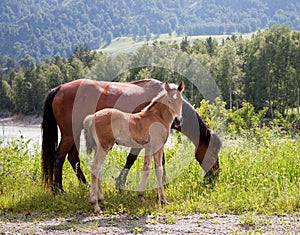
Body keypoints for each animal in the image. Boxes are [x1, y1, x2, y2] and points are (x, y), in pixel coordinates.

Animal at [41, 78, 220, 192]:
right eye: (212, 152)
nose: (214, 177)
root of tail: (59, 88)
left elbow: (156, 160)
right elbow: (132, 159)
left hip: (74, 133)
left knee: (73, 158)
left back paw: (85, 185)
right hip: (69, 134)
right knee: (59, 158)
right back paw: (58, 190)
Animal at [83, 81, 184, 213]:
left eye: (181, 101)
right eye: (169, 101)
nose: (177, 120)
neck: (157, 117)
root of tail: (93, 116)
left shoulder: (148, 148)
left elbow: (146, 169)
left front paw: (141, 197)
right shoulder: (158, 146)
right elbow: (159, 170)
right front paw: (163, 200)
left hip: (99, 147)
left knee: (98, 169)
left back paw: (102, 200)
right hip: (104, 146)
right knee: (95, 167)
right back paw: (95, 205)